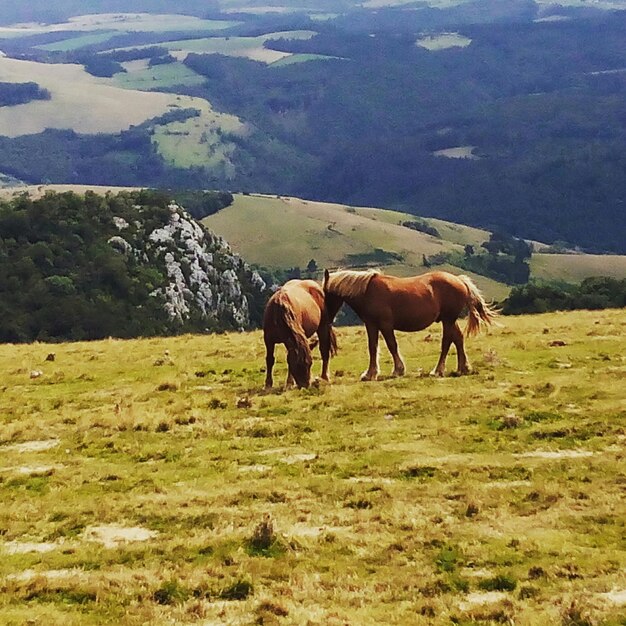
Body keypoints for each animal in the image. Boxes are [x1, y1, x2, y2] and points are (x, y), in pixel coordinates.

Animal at [324, 266, 494, 378]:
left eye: (326, 292)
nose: (326, 317)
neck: (368, 291)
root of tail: (459, 280)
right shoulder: (371, 325)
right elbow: (373, 347)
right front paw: (370, 374)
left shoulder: (385, 325)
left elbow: (392, 345)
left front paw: (398, 370)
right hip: (450, 320)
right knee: (458, 339)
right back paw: (462, 368)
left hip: (448, 320)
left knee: (447, 342)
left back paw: (438, 370)